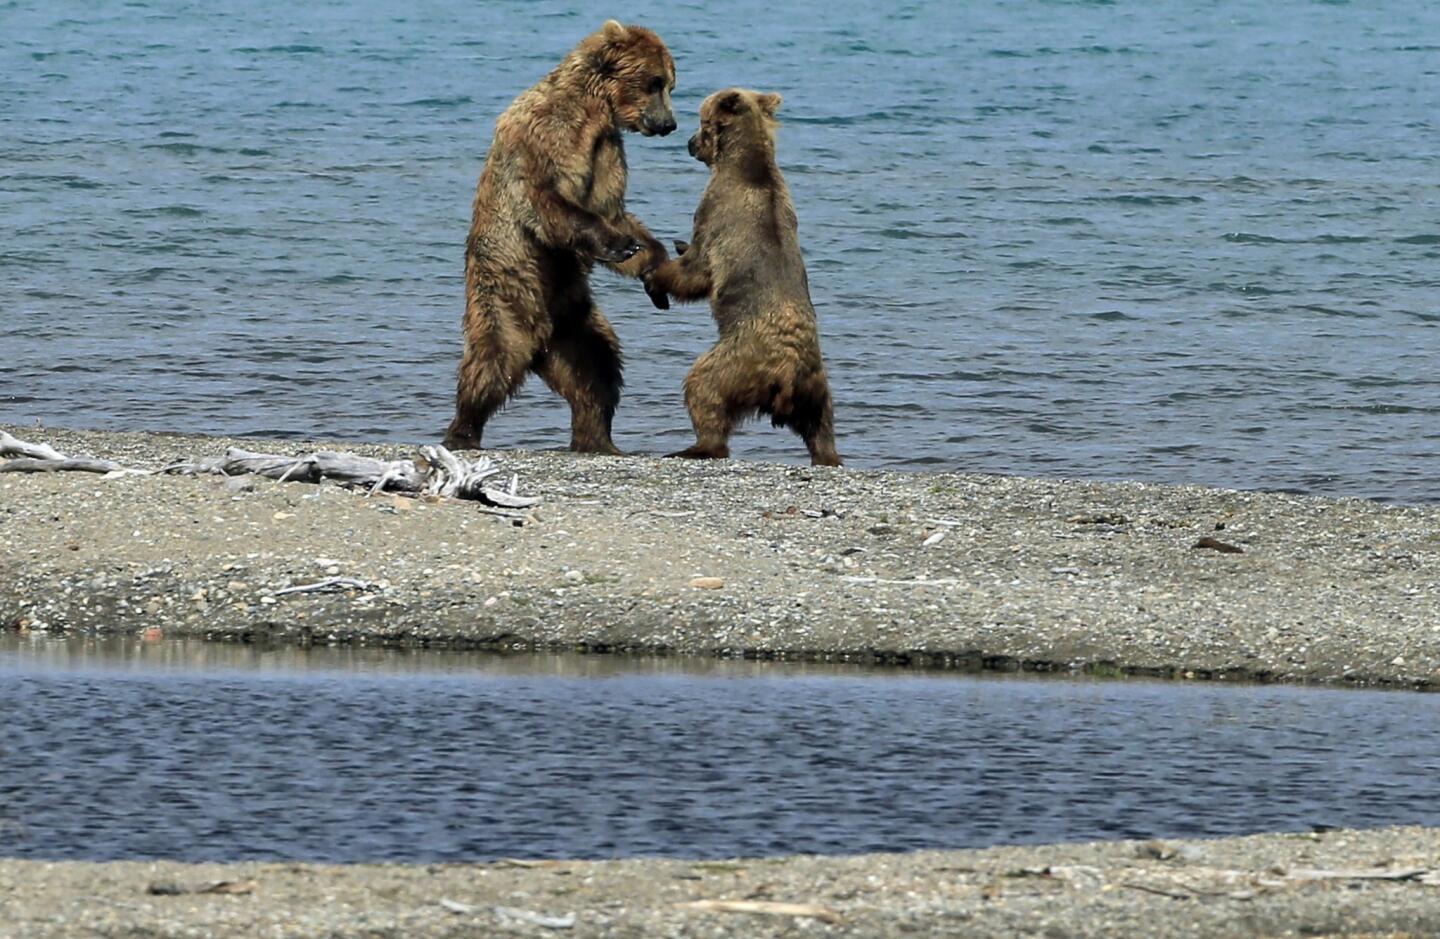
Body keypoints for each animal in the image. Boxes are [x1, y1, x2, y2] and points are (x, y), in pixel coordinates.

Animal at [440, 21, 676, 455]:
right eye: (655, 82)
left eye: (670, 83)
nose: (669, 124)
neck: (593, 109)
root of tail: (541, 344)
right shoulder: (547, 133)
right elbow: (546, 201)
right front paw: (622, 245)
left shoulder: (605, 147)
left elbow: (610, 208)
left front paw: (651, 262)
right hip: (509, 293)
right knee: (491, 362)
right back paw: (462, 431)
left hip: (573, 320)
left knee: (596, 368)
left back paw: (598, 438)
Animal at [645, 87, 840, 466]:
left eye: (702, 121)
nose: (689, 143)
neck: (744, 163)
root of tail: (787, 372)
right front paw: (676, 247)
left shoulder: (714, 213)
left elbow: (696, 271)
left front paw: (656, 274)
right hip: (815, 386)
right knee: (822, 424)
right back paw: (828, 455)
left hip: (737, 362)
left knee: (703, 387)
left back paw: (695, 447)